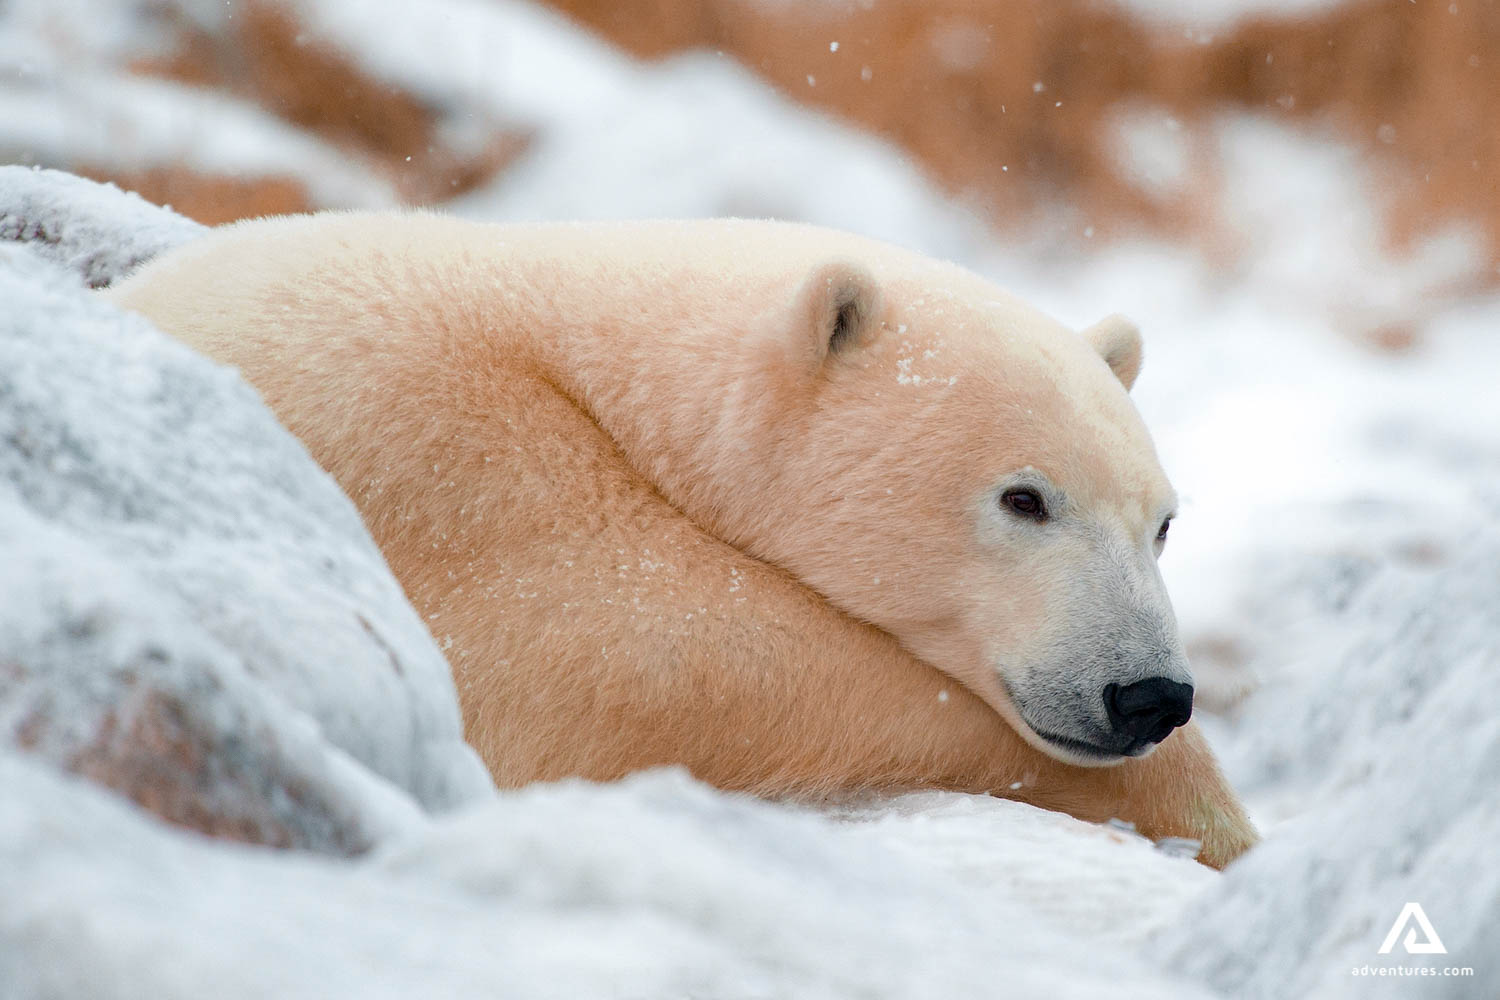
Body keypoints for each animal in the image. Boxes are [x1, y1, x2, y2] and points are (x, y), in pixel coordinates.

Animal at [107, 212, 1257, 867]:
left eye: (1162, 522)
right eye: (1026, 499)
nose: (1148, 693)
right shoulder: (438, 451)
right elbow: (632, 659)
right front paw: (1204, 815)